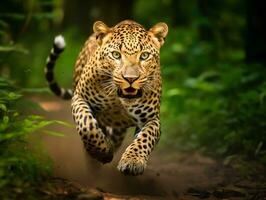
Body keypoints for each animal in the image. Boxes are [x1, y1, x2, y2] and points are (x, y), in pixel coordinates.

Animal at [44, 19, 167, 175]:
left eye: (144, 55)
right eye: (116, 55)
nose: (130, 78)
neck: (117, 99)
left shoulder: (151, 119)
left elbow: (145, 138)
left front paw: (132, 161)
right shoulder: (79, 98)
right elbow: (87, 126)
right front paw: (102, 153)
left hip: (119, 130)